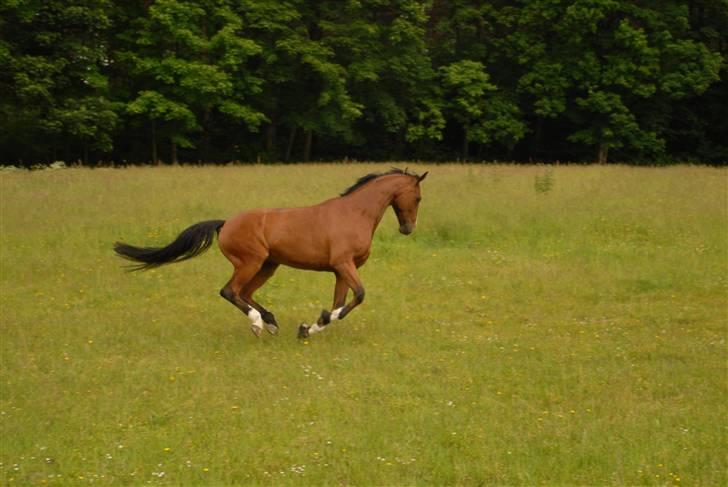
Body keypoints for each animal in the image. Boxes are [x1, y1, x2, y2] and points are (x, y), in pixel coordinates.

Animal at [114, 168, 426, 340]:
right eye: (419, 197)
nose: (408, 228)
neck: (355, 213)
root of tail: (225, 223)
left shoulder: (340, 270)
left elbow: (339, 303)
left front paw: (310, 327)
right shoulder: (344, 264)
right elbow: (359, 296)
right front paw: (314, 324)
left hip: (268, 265)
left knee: (245, 293)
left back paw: (271, 322)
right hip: (250, 262)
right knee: (230, 291)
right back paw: (257, 323)